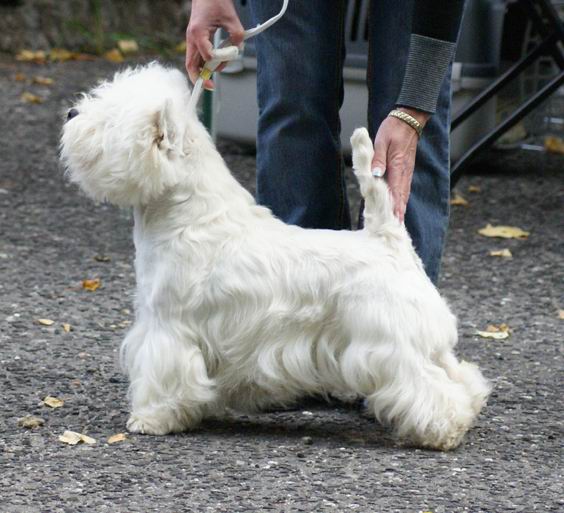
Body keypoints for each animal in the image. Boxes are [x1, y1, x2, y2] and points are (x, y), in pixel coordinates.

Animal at [60, 62, 490, 450]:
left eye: (108, 119)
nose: (70, 113)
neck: (185, 213)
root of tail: (388, 239)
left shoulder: (168, 326)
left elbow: (163, 374)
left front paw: (152, 418)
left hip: (390, 341)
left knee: (426, 385)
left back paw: (443, 430)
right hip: (425, 339)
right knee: (458, 373)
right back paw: (469, 409)